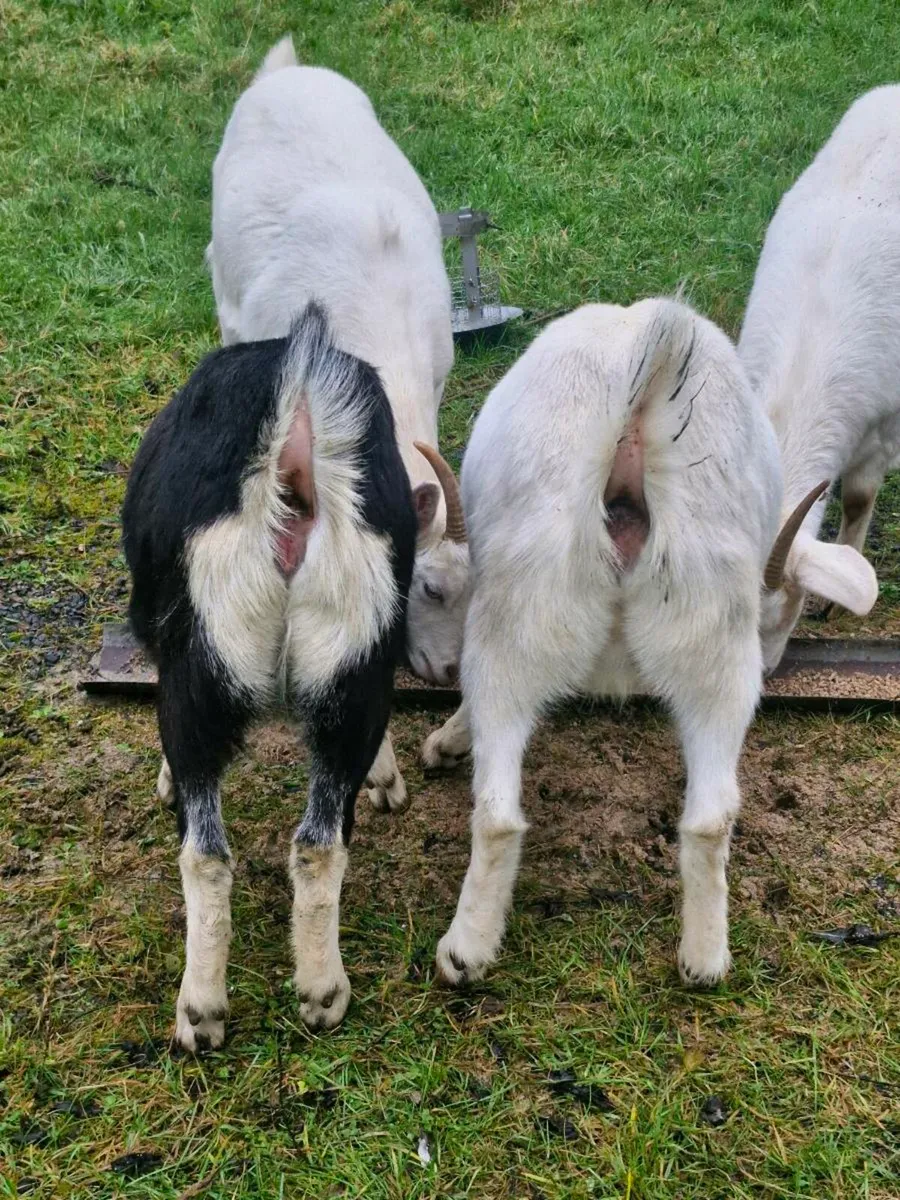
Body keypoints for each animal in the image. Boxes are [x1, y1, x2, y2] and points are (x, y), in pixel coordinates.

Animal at [122, 304, 416, 1048]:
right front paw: (386, 779)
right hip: (354, 647)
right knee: (319, 842)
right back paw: (322, 991)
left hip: (202, 656)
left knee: (204, 851)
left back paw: (200, 1012)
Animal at [420, 298, 824, 988]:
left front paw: (446, 740)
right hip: (711, 621)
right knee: (711, 814)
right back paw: (704, 959)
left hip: (521, 604)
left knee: (497, 807)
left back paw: (463, 951)